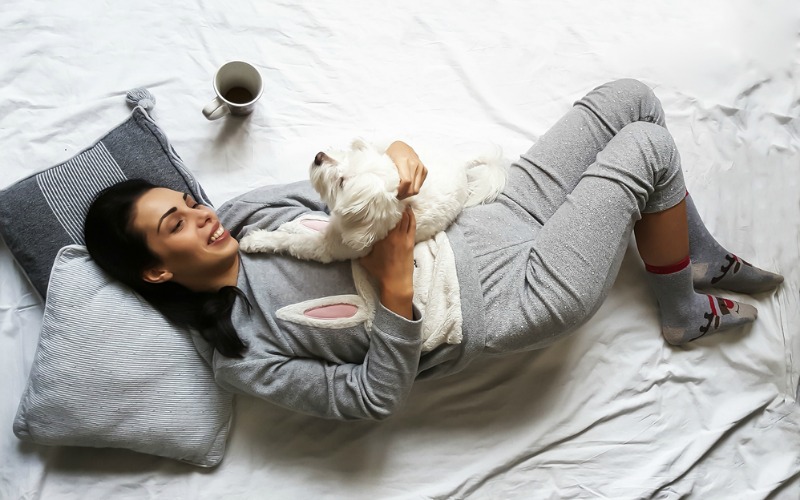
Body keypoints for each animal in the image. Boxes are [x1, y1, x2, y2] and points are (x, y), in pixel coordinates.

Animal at [241, 137, 510, 262]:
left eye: (342, 182)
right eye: (346, 156)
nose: (319, 156)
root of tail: (462, 163)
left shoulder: (330, 248)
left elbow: (292, 241)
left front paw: (257, 241)